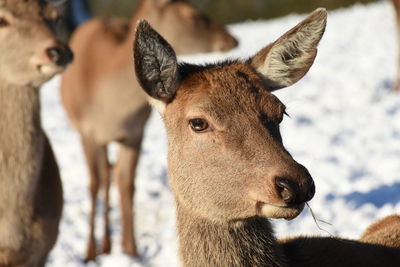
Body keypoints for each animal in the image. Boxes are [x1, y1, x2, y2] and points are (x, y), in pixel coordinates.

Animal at [59, 0, 238, 262]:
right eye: (192, 15)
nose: (231, 38)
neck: (109, 111)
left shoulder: (135, 132)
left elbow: (127, 183)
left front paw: (130, 250)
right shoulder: (86, 132)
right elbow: (93, 183)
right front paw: (89, 253)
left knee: (112, 174)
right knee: (102, 178)